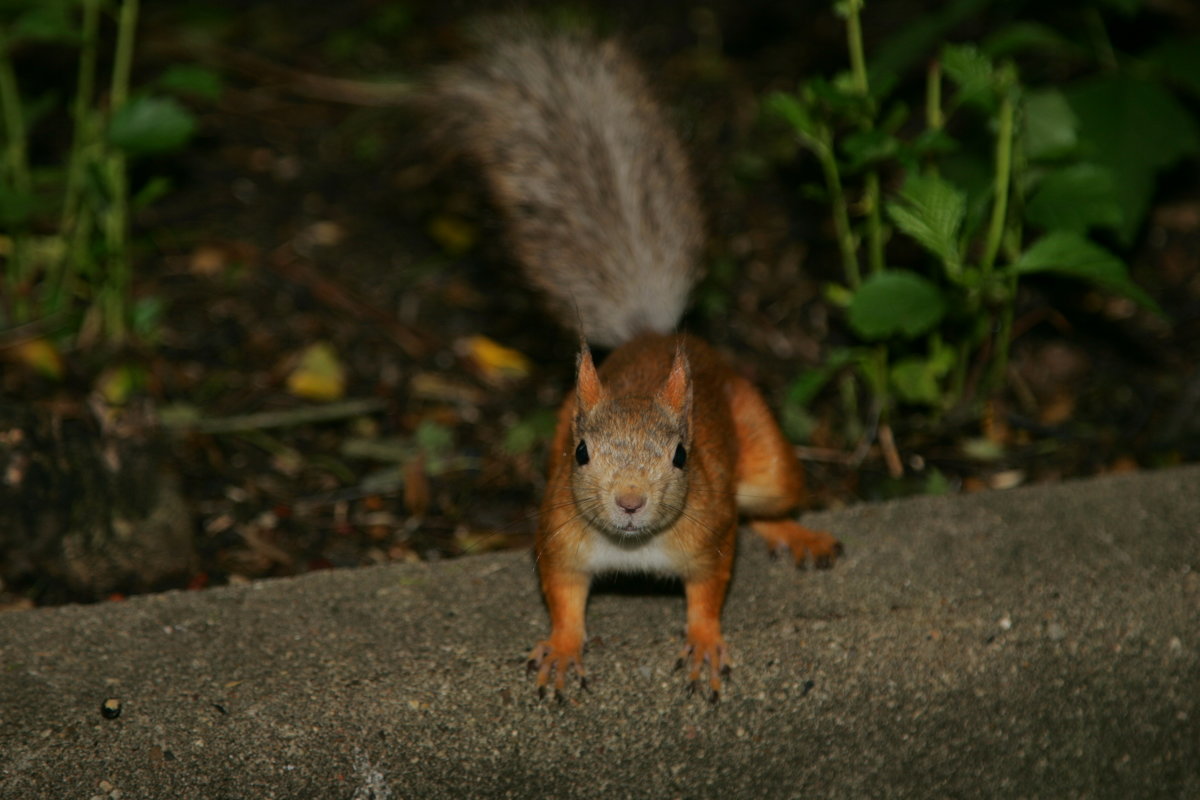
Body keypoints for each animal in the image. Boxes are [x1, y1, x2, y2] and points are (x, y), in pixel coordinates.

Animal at [424, 23, 844, 700]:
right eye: (580, 453)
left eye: (680, 455)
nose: (627, 502)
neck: (633, 548)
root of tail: (653, 335)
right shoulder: (559, 534)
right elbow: (563, 596)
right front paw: (562, 650)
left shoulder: (709, 534)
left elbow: (710, 592)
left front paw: (704, 644)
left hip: (767, 455)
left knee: (769, 505)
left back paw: (798, 534)